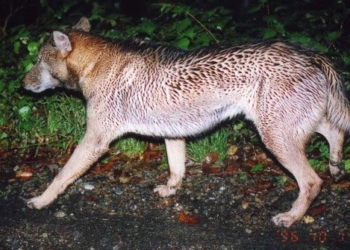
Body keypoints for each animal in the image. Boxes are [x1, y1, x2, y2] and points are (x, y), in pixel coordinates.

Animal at [23, 17, 348, 229]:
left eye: (38, 60)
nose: (22, 83)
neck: (96, 64)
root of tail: (310, 54)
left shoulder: (95, 141)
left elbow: (61, 176)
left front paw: (41, 200)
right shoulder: (173, 133)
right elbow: (176, 170)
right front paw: (171, 191)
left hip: (274, 137)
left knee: (312, 181)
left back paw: (291, 217)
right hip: (291, 127)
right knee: (335, 132)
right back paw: (335, 165)